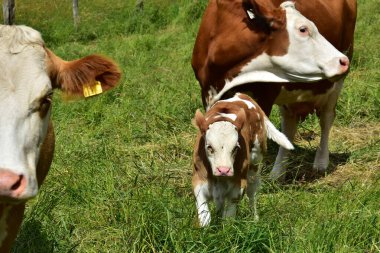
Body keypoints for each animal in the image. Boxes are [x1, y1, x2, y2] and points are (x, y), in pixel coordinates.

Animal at [193, 0, 356, 181]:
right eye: (303, 29)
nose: (343, 61)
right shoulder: (207, 92)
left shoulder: (265, 95)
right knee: (289, 125)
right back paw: (278, 173)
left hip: (336, 83)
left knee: (326, 119)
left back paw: (321, 163)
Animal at [193, 92, 294, 225]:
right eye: (209, 147)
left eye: (235, 148)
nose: (224, 170)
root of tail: (242, 96)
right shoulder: (199, 183)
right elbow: (205, 217)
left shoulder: (237, 188)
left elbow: (229, 218)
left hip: (255, 164)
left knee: (252, 193)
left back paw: (255, 218)